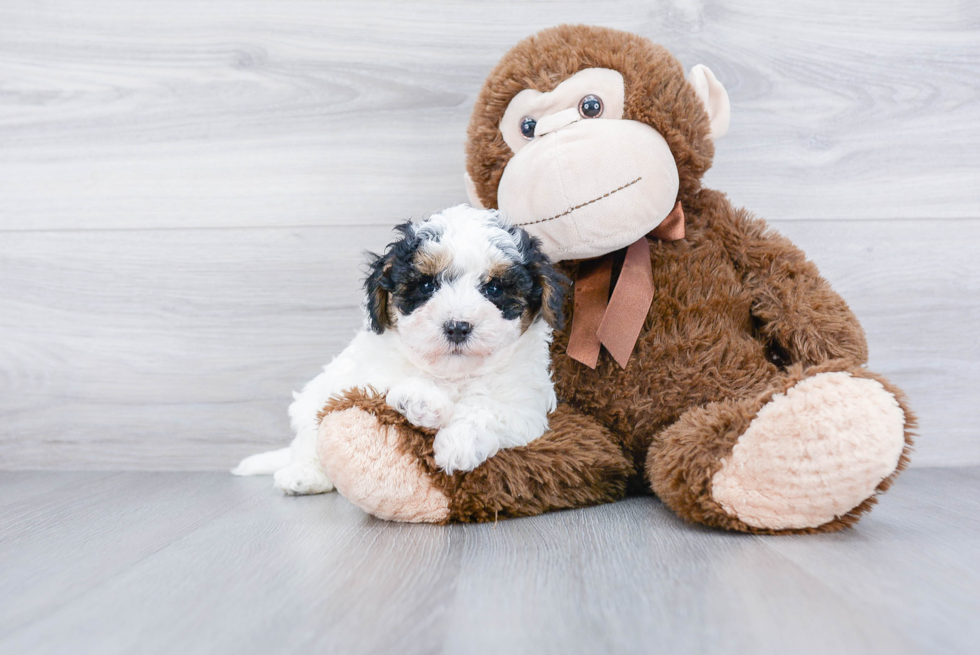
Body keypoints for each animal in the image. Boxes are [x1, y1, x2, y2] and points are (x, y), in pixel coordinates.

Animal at [232, 205, 568, 498]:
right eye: (427, 286)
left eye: (494, 289)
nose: (457, 327)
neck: (453, 374)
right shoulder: (369, 379)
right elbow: (392, 389)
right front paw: (421, 400)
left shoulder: (525, 408)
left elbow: (486, 409)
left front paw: (459, 444)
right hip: (315, 402)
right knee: (309, 441)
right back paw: (304, 475)